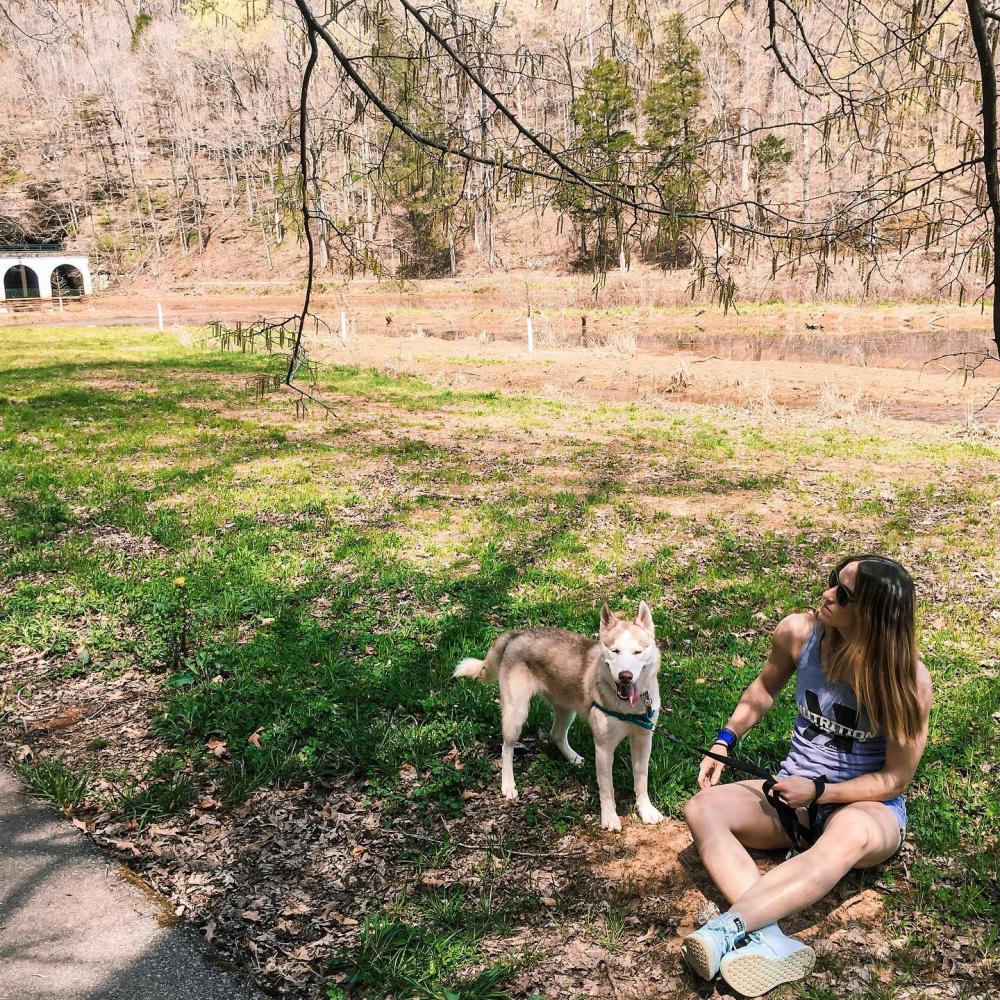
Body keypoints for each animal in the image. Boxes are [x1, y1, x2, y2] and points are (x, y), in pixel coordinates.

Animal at [456, 600, 664, 828]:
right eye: (615, 651)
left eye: (638, 652)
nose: (625, 676)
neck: (627, 708)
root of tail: (516, 635)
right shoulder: (604, 748)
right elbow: (607, 789)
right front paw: (609, 817)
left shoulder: (643, 741)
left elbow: (641, 779)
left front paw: (646, 810)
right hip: (516, 713)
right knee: (506, 748)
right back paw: (508, 785)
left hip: (566, 709)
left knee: (556, 734)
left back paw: (573, 758)